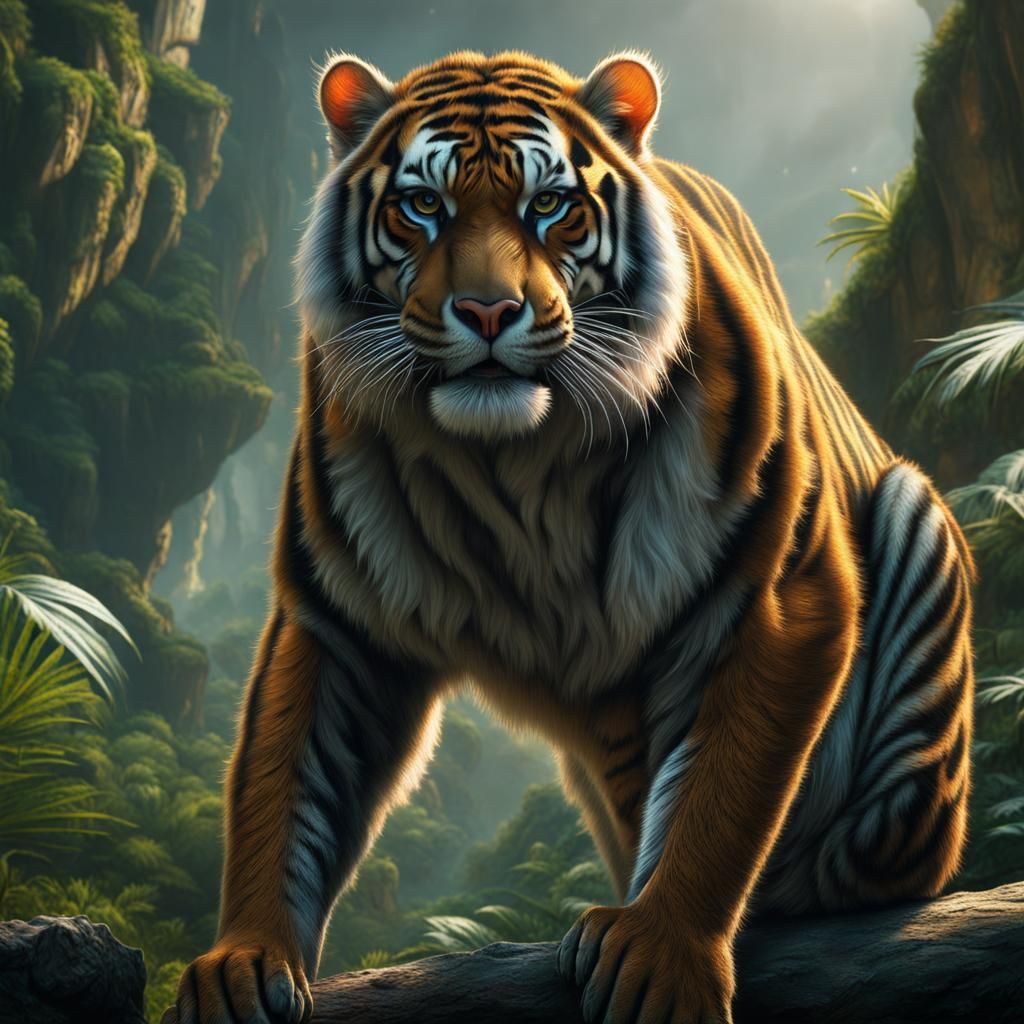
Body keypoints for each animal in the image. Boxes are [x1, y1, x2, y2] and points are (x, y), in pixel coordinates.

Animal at [167, 49, 975, 1024]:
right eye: (423, 205)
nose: (486, 311)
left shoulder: (780, 593)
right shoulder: (338, 619)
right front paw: (242, 963)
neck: (516, 461)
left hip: (914, 529)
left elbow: (719, 795)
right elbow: (281, 787)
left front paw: (661, 954)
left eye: (548, 204)